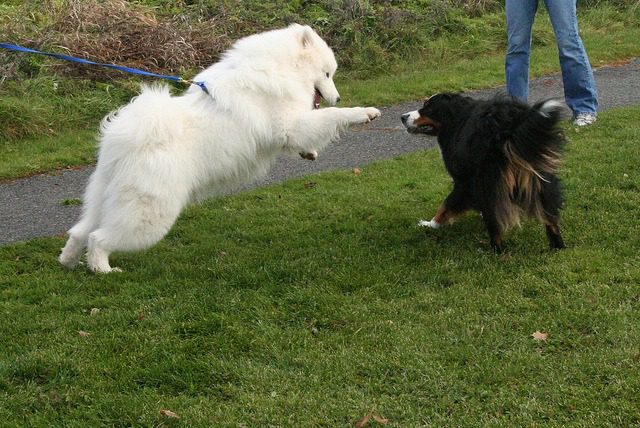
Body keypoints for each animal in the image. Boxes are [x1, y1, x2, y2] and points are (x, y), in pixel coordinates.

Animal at [58, 23, 380, 272]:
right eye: (327, 74)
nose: (338, 97)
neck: (282, 70)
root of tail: (127, 137)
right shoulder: (290, 124)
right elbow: (329, 118)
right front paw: (362, 112)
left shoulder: (289, 130)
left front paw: (310, 152)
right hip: (149, 214)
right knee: (99, 237)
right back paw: (102, 269)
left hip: (106, 194)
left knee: (80, 231)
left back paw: (69, 261)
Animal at [402, 93, 568, 251]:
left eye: (428, 107)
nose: (403, 117)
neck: (457, 119)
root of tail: (507, 124)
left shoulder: (464, 182)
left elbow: (446, 205)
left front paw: (430, 224)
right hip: (540, 175)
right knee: (550, 217)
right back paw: (557, 246)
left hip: (488, 181)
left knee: (494, 221)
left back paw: (496, 250)